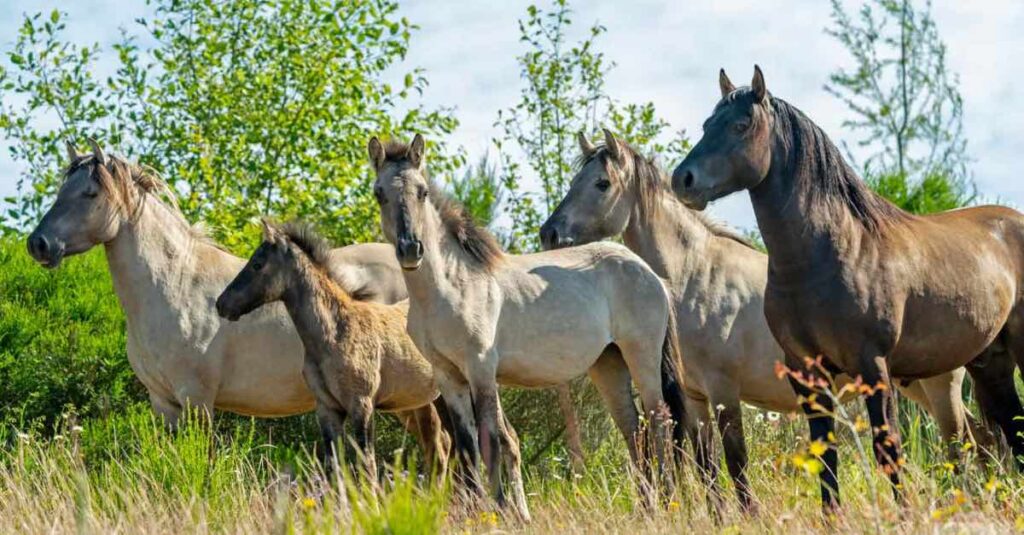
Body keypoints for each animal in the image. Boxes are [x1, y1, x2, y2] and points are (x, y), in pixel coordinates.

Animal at [24, 139, 407, 426]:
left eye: (90, 193)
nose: (38, 244)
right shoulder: (163, 403)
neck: (174, 288)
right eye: (61, 190)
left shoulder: (197, 401)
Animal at [217, 218, 452, 477]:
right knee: (443, 445)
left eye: (257, 264)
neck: (335, 333)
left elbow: (366, 464)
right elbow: (334, 466)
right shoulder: (327, 408)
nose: (222, 304)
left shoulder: (362, 405)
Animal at [368, 133, 688, 516]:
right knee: (633, 428)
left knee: (659, 421)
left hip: (643, 356)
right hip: (608, 363)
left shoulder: (481, 371)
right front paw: (480, 511)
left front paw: (499, 510)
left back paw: (668, 502)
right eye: (379, 193)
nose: (410, 249)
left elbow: (491, 440)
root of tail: (646, 270)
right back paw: (646, 507)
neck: (450, 287)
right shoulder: (448, 377)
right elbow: (467, 447)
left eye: (422, 191)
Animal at [540, 128, 987, 508]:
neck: (693, 276)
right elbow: (707, 469)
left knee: (961, 440)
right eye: (574, 182)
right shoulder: (697, 398)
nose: (549, 233)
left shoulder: (724, 392)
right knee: (977, 436)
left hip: (938, 384)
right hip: (913, 384)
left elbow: (736, 461)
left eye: (602, 184)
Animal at [671, 65, 1024, 508]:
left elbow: (887, 449)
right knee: (1010, 430)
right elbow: (825, 457)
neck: (829, 254)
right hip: (989, 361)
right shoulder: (807, 371)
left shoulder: (872, 365)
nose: (682, 179)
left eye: (742, 124)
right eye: (706, 124)